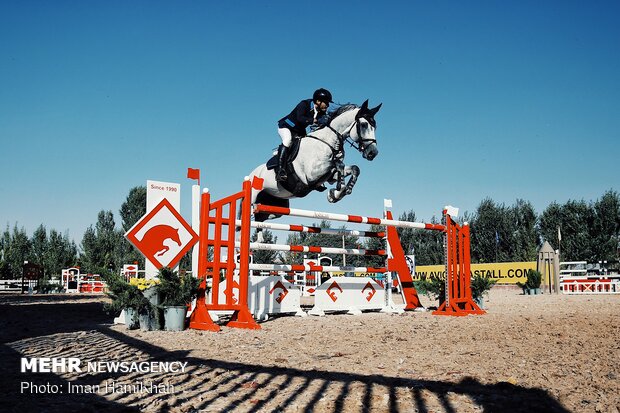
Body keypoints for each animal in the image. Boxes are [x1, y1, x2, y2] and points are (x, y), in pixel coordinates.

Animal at [248, 99, 382, 229]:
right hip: (253, 195)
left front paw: (338, 193)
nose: (373, 153)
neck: (328, 142)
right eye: (364, 125)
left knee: (261, 217)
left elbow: (354, 169)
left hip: (276, 207)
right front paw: (338, 191)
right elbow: (339, 165)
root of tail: (250, 175)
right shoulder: (312, 174)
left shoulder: (328, 176)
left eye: (374, 127)